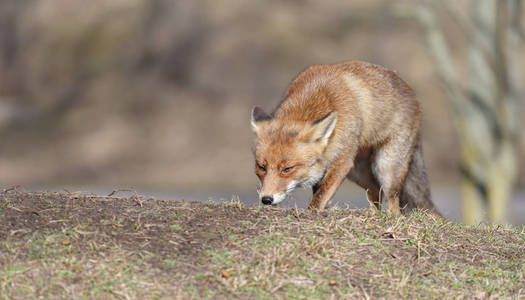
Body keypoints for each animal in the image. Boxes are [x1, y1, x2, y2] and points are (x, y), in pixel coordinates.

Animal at [250, 61, 438, 214]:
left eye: (287, 169)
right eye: (261, 167)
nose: (266, 199)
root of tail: (412, 93)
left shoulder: (342, 162)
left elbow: (320, 195)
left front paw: (313, 211)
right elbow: (319, 192)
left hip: (385, 166)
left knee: (393, 203)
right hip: (358, 171)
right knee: (375, 190)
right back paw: (373, 214)